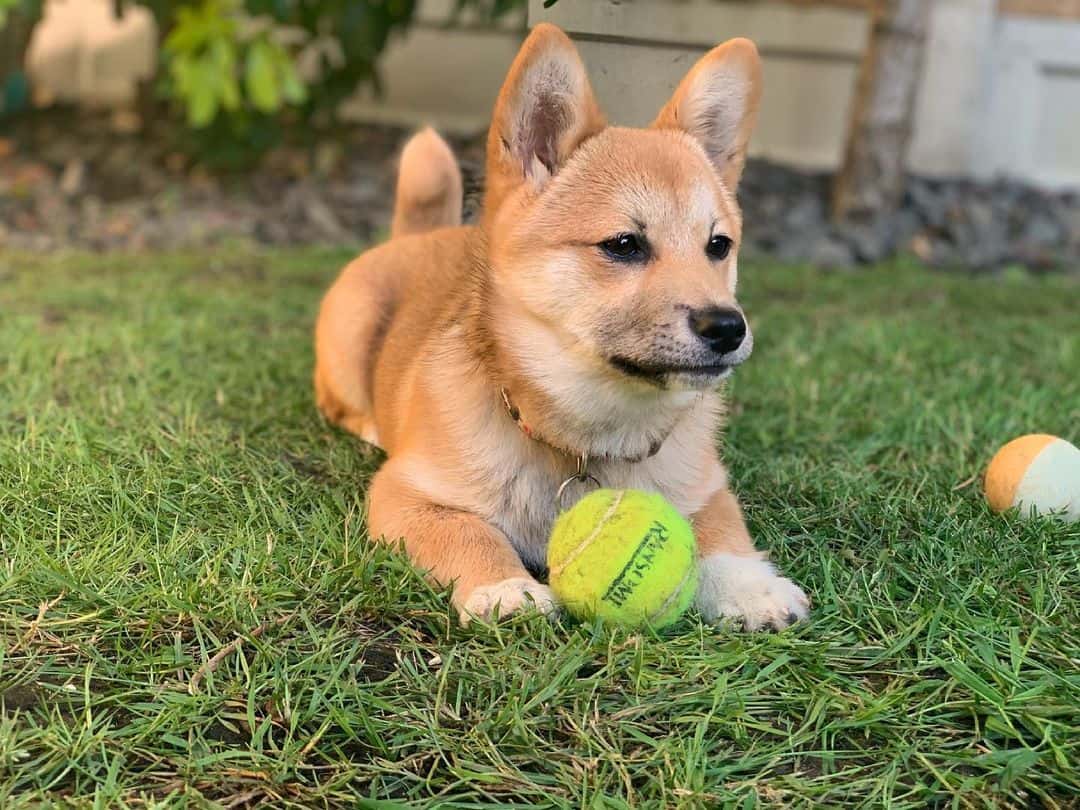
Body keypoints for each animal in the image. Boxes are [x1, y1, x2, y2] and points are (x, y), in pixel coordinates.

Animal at [313, 22, 812, 630]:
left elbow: (721, 534)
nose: (727, 328)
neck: (587, 440)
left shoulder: (707, 485)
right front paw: (504, 587)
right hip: (349, 332)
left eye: (718, 245)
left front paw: (751, 588)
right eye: (623, 244)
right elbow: (468, 533)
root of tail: (418, 236)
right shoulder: (407, 495)